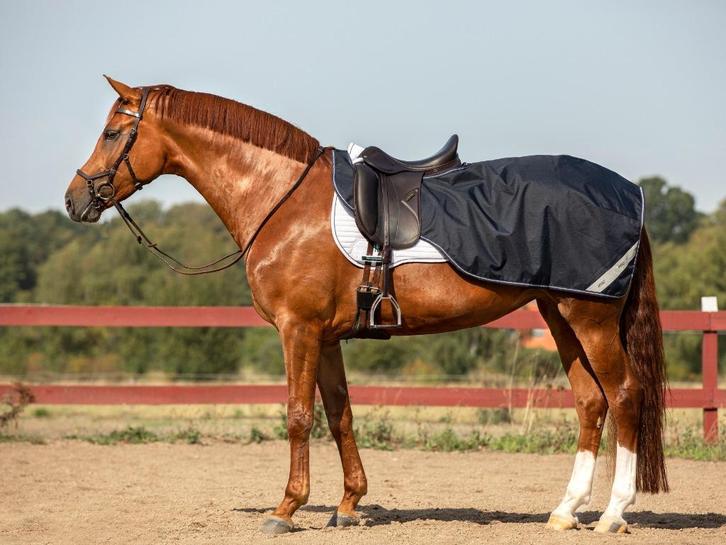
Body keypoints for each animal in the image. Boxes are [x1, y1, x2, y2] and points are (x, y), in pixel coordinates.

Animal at [64, 77, 668, 535]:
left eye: (113, 132)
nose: (74, 199)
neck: (283, 199)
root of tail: (627, 194)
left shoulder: (298, 330)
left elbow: (299, 416)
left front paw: (286, 509)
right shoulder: (327, 336)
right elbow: (340, 415)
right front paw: (349, 504)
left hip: (589, 319)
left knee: (624, 394)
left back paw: (613, 514)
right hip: (559, 316)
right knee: (590, 402)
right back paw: (565, 511)